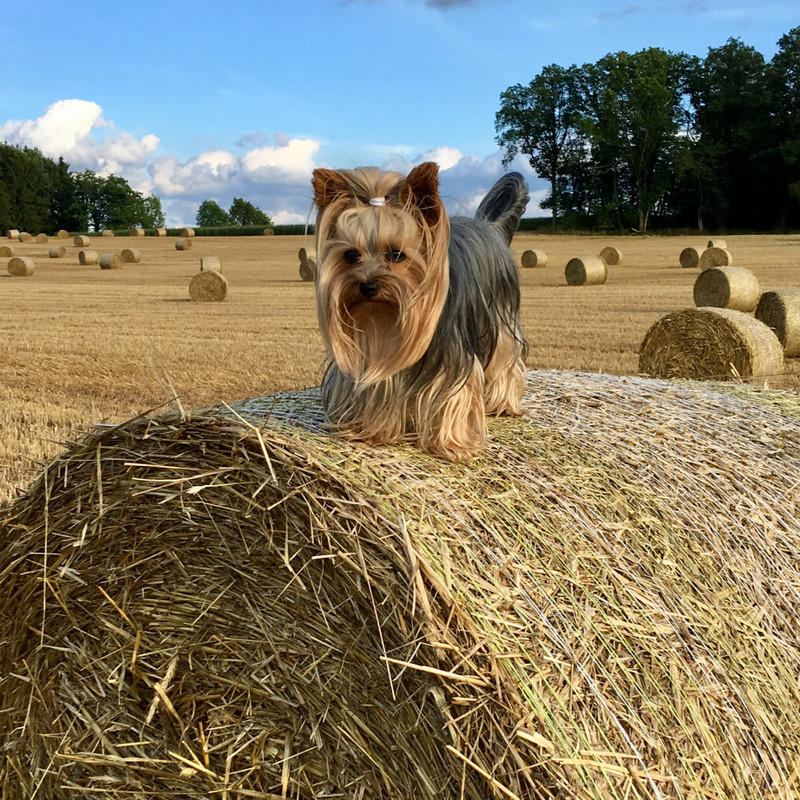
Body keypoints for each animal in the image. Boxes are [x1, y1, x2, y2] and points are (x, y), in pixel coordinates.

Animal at [312, 161, 532, 462]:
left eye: (396, 254)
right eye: (350, 255)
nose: (367, 286)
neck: (384, 319)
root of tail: (490, 226)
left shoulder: (454, 358)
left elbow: (454, 396)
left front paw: (452, 444)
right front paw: (364, 429)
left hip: (500, 320)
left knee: (507, 359)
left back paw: (505, 404)